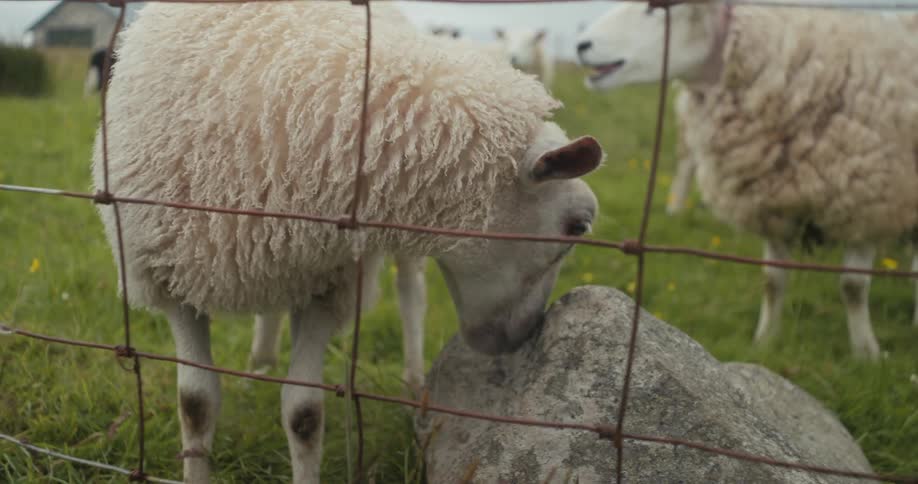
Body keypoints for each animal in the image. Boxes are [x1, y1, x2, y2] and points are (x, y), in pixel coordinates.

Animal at [93, 2, 602, 482]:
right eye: (576, 226)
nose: (524, 336)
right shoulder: (169, 279)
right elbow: (195, 406)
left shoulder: (329, 284)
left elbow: (303, 414)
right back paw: (258, 364)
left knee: (411, 294)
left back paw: (412, 378)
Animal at [575, 1, 918, 360]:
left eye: (656, 8)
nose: (581, 45)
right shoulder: (773, 201)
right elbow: (772, 280)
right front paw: (765, 341)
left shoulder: (872, 200)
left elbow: (853, 286)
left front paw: (866, 353)